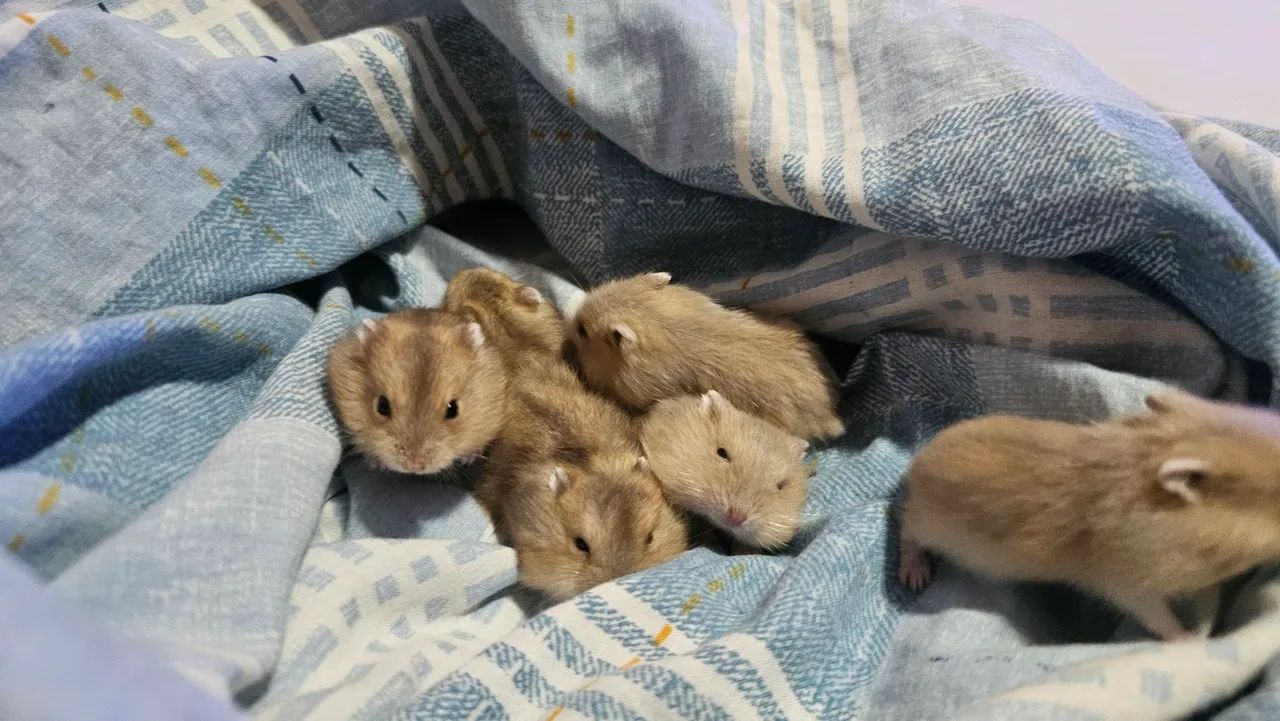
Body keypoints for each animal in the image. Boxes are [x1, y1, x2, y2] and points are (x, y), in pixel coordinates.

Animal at [898, 388, 1280, 641]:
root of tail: (917, 462)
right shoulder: (1129, 586)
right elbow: (1160, 618)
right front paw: (1188, 639)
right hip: (925, 522)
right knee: (906, 530)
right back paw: (914, 576)